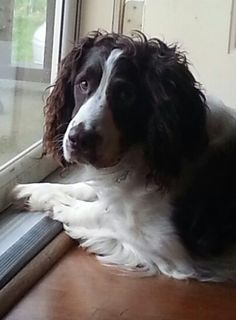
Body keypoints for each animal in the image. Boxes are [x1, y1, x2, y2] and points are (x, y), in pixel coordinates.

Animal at [12, 31, 236, 280]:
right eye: (83, 84)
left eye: (126, 94)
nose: (78, 139)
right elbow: (86, 189)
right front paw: (32, 190)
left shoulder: (163, 242)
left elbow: (100, 214)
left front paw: (52, 203)